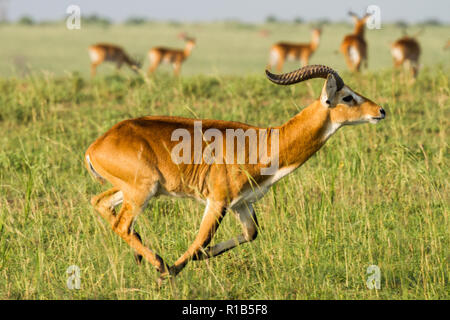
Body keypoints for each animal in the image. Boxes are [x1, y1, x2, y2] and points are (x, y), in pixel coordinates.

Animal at [85, 64, 386, 282]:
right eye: (347, 96)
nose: (381, 110)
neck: (265, 143)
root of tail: (95, 146)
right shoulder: (218, 201)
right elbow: (200, 240)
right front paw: (168, 272)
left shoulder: (242, 203)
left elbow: (250, 234)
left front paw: (198, 259)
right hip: (142, 192)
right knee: (121, 224)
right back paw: (158, 263)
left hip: (133, 190)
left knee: (100, 204)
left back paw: (142, 255)